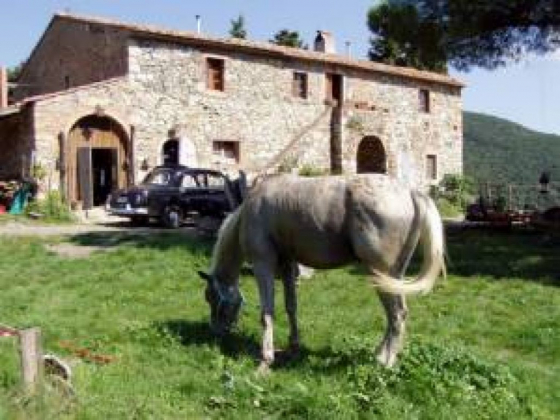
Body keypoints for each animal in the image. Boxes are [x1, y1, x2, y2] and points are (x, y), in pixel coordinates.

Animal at [198, 173, 446, 370]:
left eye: (212, 298)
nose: (216, 331)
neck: (250, 211)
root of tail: (410, 192)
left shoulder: (263, 265)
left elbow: (267, 312)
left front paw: (266, 359)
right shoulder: (288, 266)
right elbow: (291, 306)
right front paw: (293, 346)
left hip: (382, 274)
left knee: (397, 315)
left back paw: (385, 361)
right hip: (394, 277)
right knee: (396, 315)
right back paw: (381, 354)